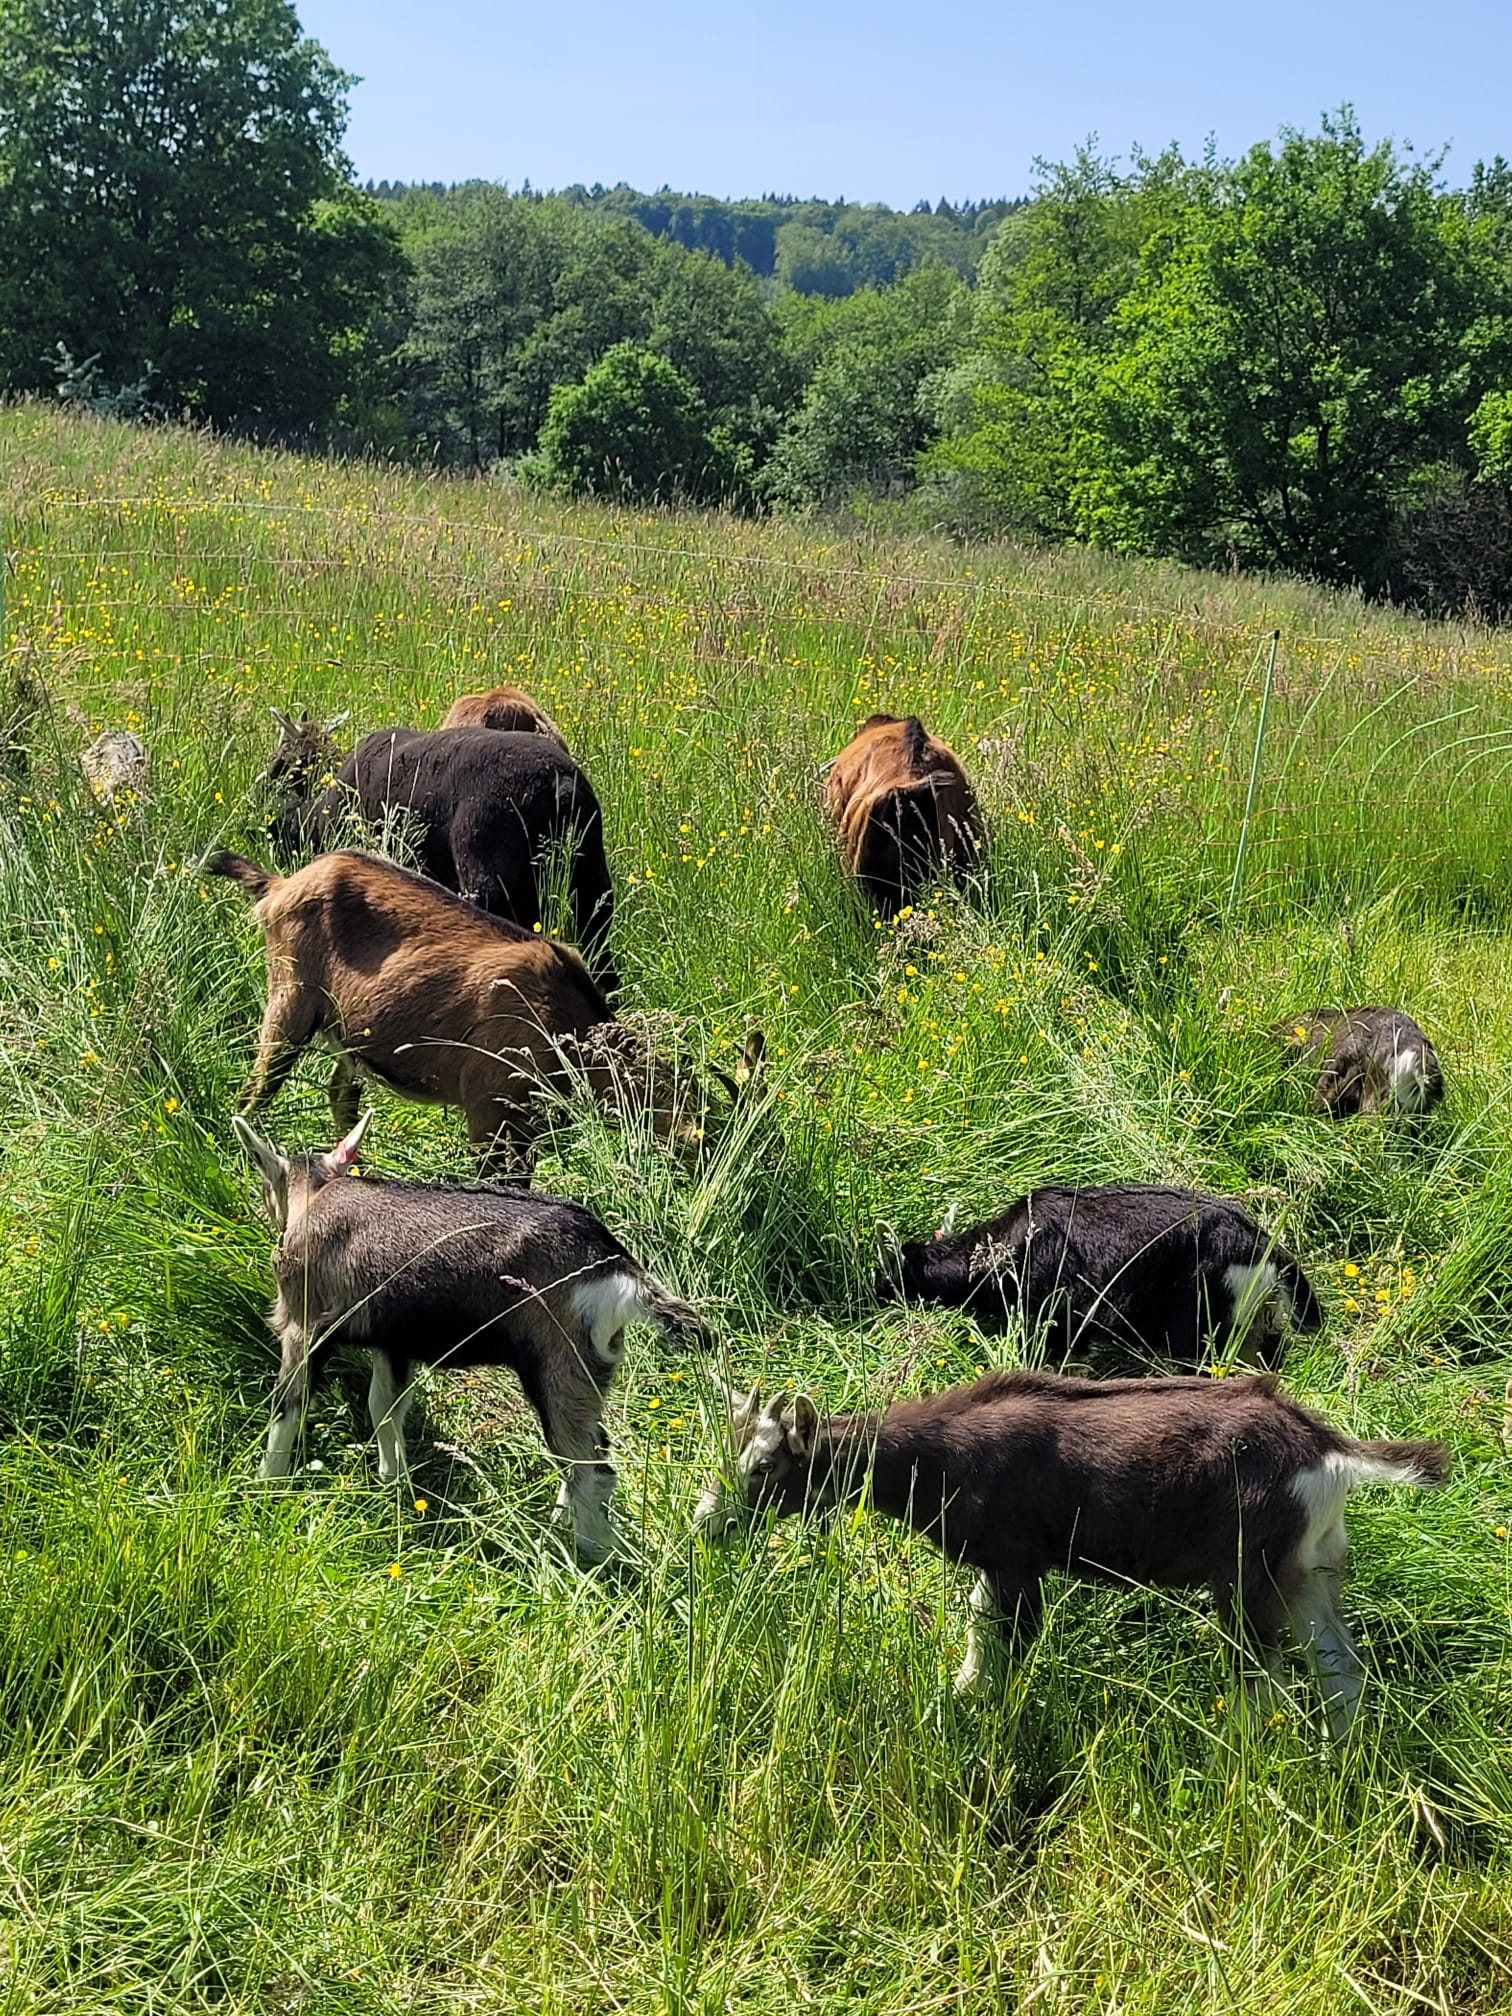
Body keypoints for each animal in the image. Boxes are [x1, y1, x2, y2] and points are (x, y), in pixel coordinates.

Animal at [207, 847, 751, 1175]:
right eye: (699, 1151)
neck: (565, 1024)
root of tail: (278, 887)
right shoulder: (490, 1111)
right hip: (289, 1002)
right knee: (253, 1092)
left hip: (351, 1036)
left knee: (341, 1093)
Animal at [232, 1112, 710, 1560]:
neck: (317, 1195)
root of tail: (617, 1268)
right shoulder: (394, 1342)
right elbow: (384, 1408)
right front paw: (395, 1484)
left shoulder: (302, 1325)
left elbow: (288, 1408)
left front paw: (265, 1487)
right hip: (591, 1366)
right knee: (589, 1454)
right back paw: (564, 1526)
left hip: (559, 1363)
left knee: (591, 1468)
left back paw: (592, 1555)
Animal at [695, 1368, 1448, 1734]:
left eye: (761, 1468)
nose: (707, 1524)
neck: (932, 1459)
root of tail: (1325, 1452)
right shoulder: (999, 1567)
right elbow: (980, 1636)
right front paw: (959, 1698)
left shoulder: (1015, 1559)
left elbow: (1003, 1641)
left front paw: (975, 1712)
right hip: (1309, 1569)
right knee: (1342, 1671)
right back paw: (1337, 1756)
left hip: (1248, 1577)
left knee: (1266, 1683)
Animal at [876, 1184, 1323, 1373]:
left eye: (896, 1270)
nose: (878, 1294)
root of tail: (1262, 1245)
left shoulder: (1062, 1316)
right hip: (1252, 1321)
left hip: (1204, 1323)